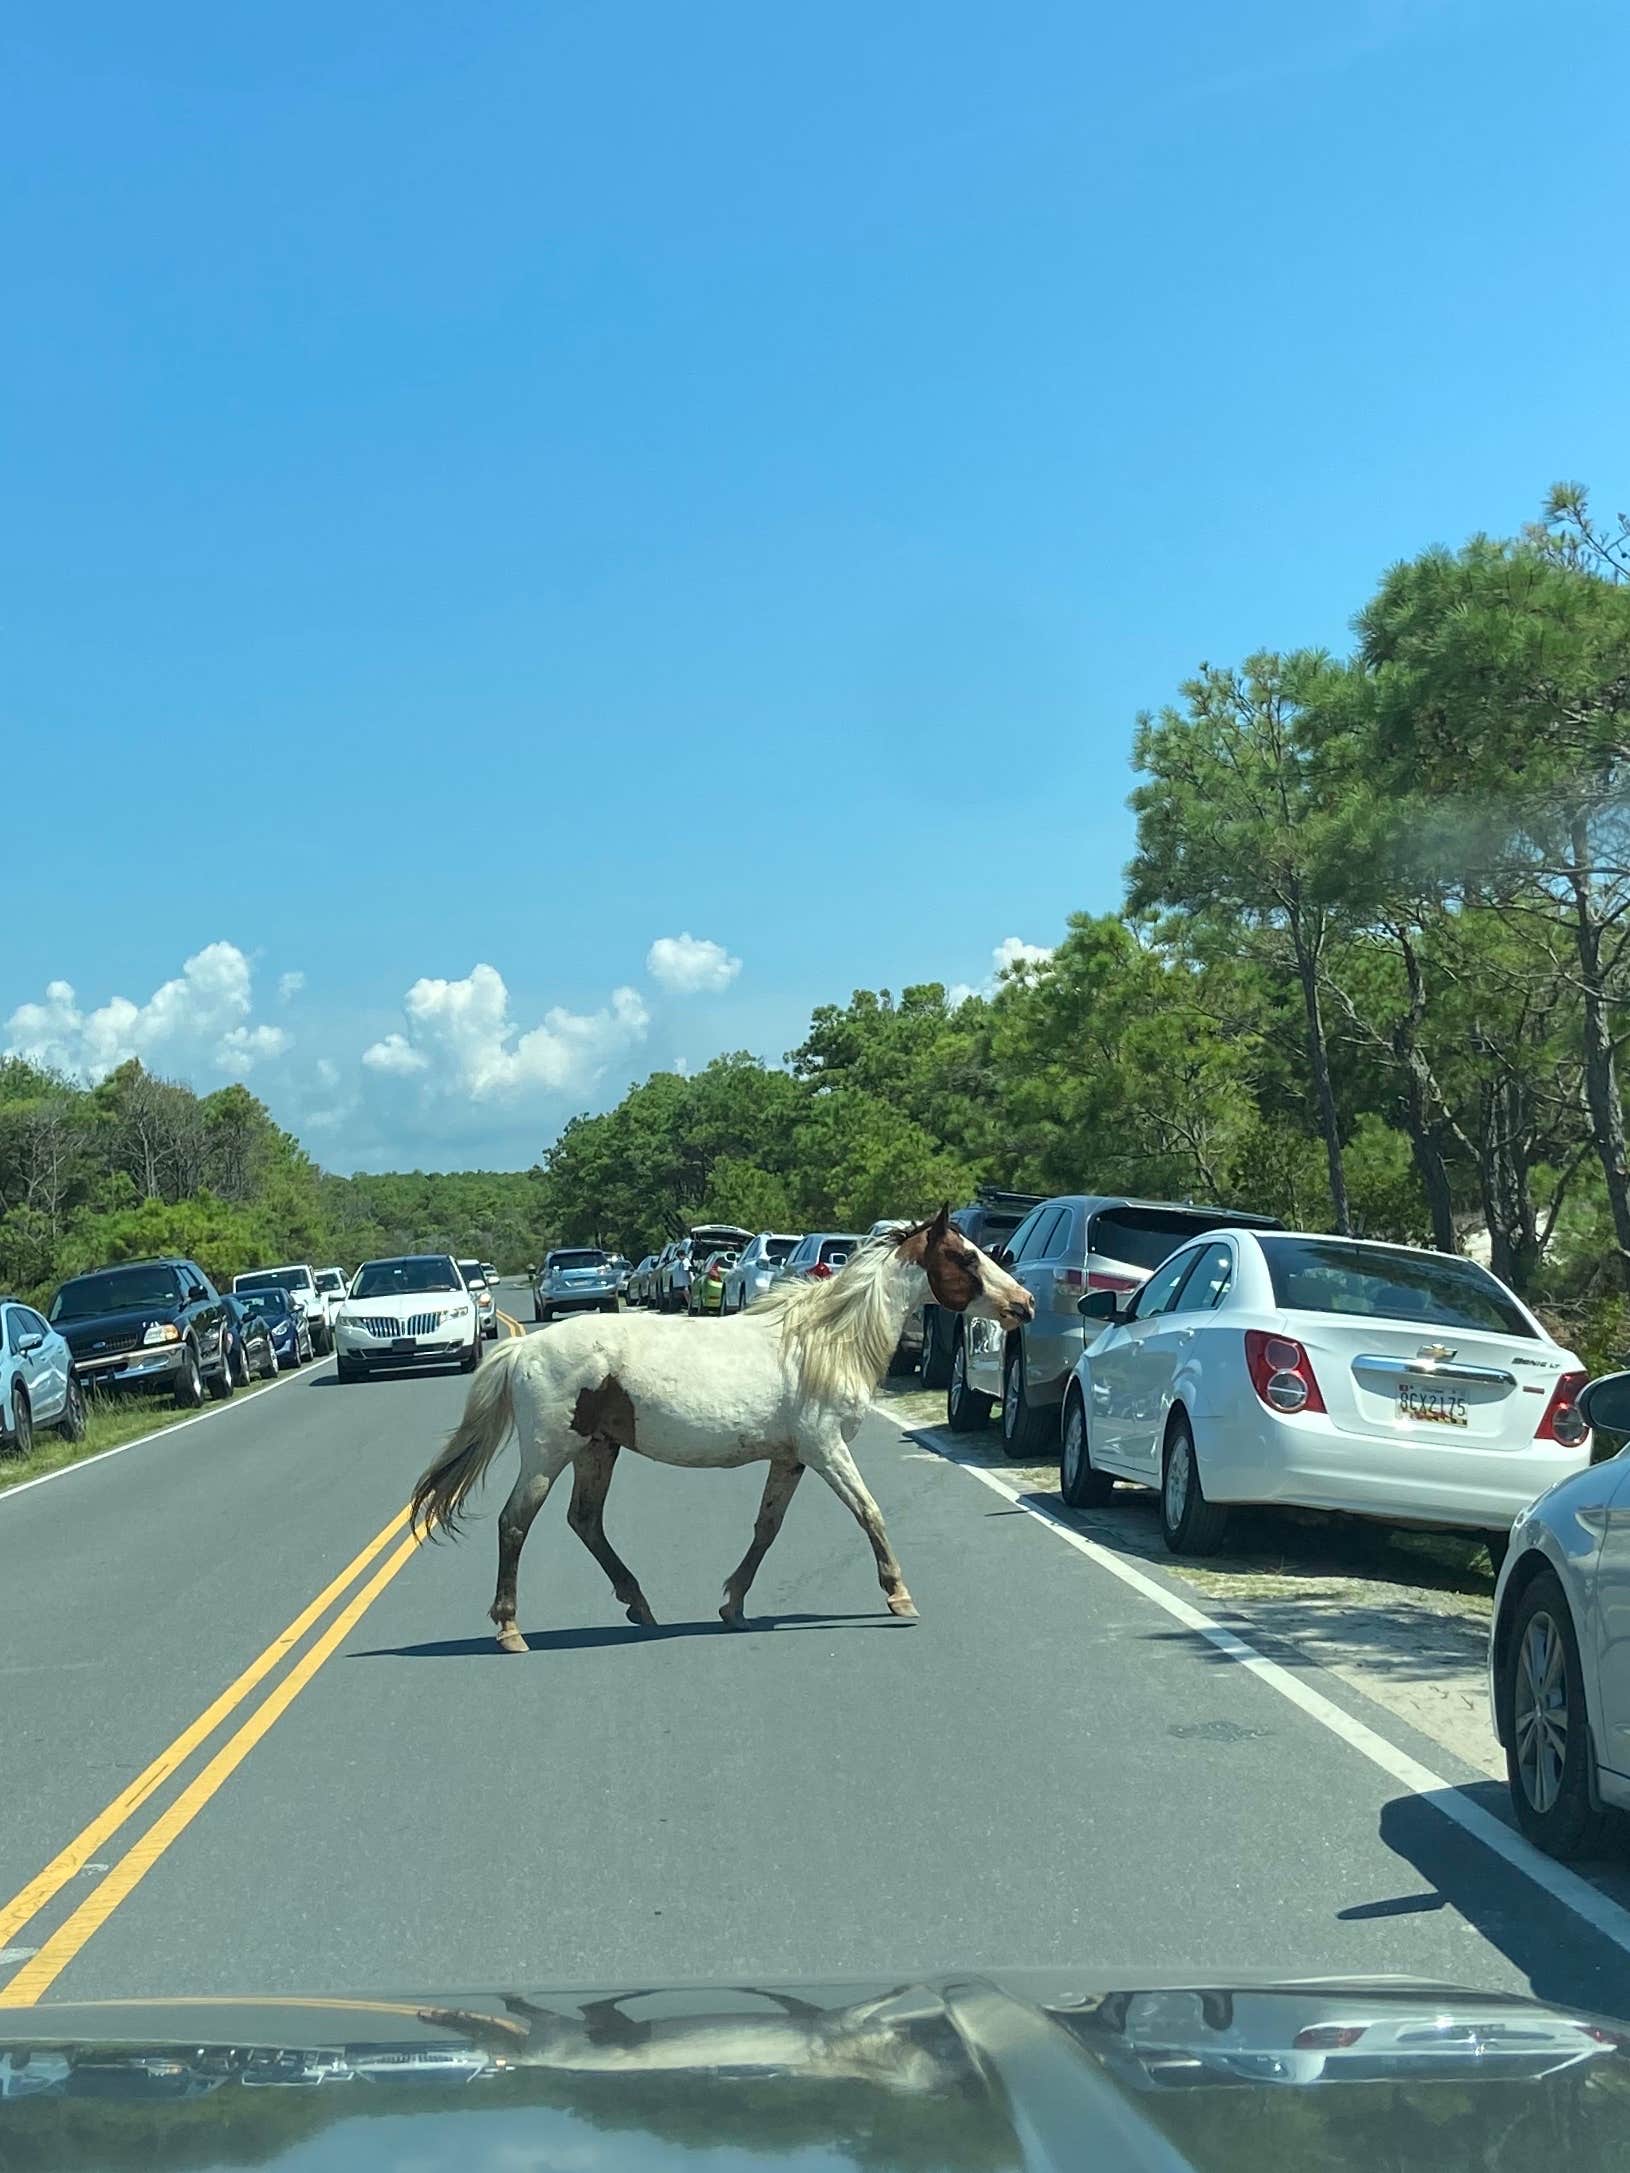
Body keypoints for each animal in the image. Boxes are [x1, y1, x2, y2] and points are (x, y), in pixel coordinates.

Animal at [410, 1208, 1034, 1642]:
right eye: (967, 1257)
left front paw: (733, 1606)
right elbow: (869, 1514)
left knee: (584, 1522)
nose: (1024, 1303)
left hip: (597, 1450)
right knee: (515, 1524)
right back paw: (510, 1630)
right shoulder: (826, 1448)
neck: (823, 1342)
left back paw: (640, 1606)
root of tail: (523, 1349)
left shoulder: (791, 1457)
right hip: (548, 1453)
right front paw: (899, 1596)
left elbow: (766, 1529)